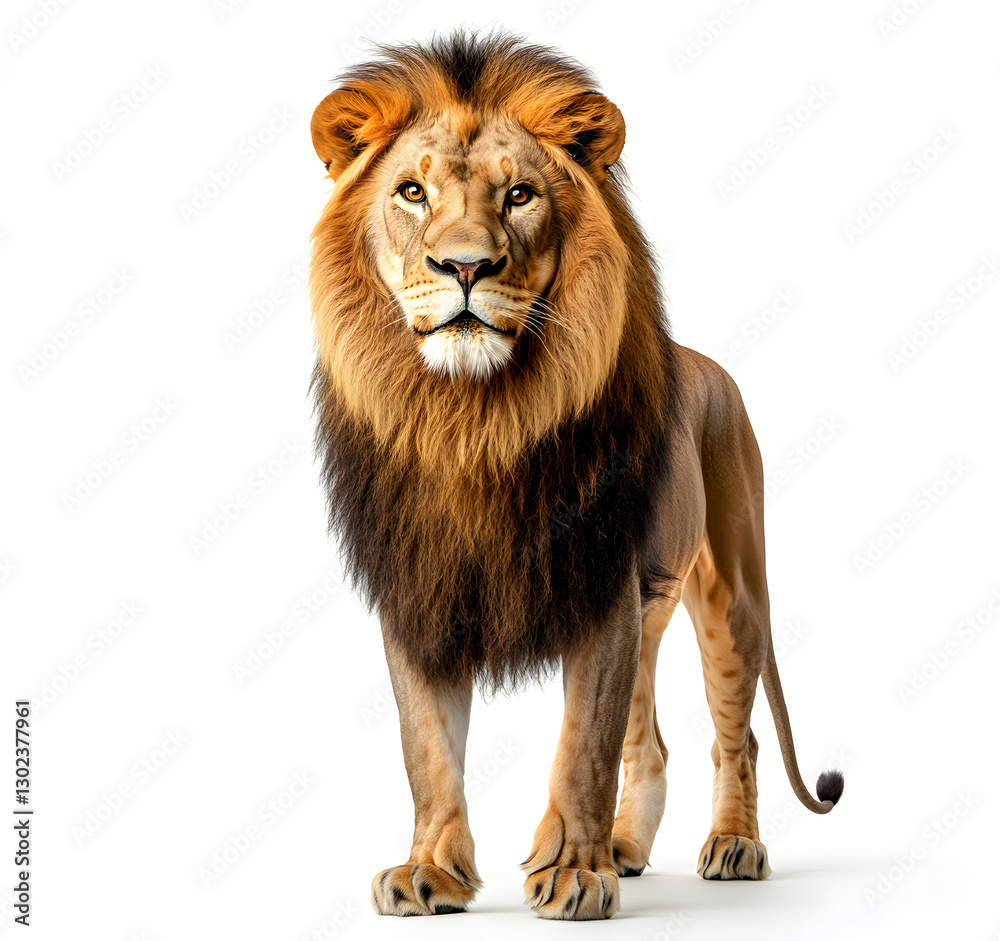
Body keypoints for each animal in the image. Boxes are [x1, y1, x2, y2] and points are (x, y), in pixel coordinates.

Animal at [308, 31, 844, 921]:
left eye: (520, 195)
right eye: (412, 191)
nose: (464, 266)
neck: (472, 421)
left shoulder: (600, 584)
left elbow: (582, 747)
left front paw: (571, 874)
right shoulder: (419, 587)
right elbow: (427, 747)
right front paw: (430, 870)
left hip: (730, 594)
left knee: (737, 736)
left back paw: (734, 845)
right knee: (651, 743)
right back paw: (627, 847)